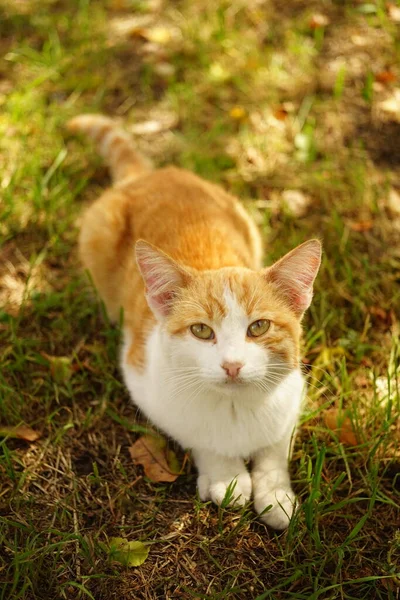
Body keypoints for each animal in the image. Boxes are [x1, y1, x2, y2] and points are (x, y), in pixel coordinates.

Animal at [66, 113, 322, 528]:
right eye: (201, 331)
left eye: (259, 327)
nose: (232, 365)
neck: (235, 409)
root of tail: (149, 175)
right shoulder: (145, 382)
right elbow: (197, 436)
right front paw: (226, 476)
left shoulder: (292, 394)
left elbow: (274, 448)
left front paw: (276, 494)